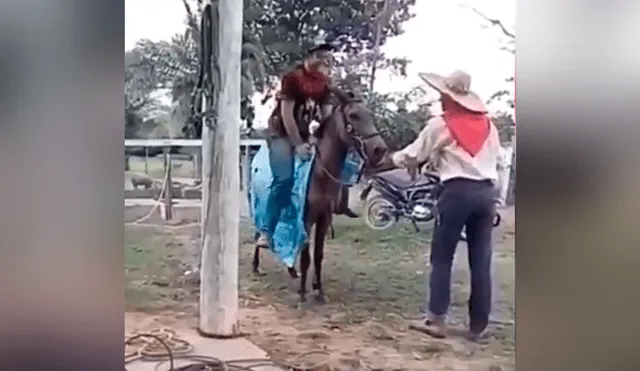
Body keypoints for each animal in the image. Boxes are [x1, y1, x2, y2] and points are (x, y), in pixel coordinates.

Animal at [252, 90, 388, 302]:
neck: (319, 173)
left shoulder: (324, 218)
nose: (379, 150)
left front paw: (319, 290)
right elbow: (306, 257)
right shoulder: (306, 219)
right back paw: (256, 265)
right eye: (353, 115)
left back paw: (291, 270)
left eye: (370, 115)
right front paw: (302, 294)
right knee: (259, 233)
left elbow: (318, 255)